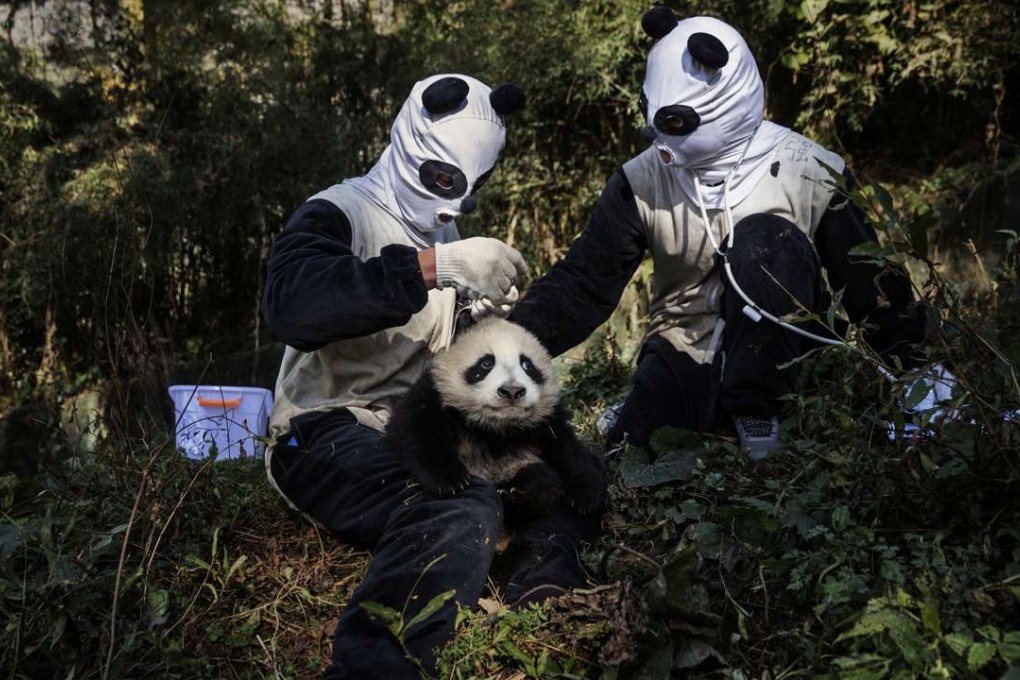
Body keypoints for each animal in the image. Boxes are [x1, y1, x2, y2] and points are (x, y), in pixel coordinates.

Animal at [386, 318, 606, 521]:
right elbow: (413, 426)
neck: (496, 427)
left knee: (542, 480)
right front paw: (449, 479)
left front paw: (586, 496)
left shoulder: (547, 419)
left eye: (527, 365)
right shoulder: (435, 395)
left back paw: (516, 495)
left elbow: (567, 448)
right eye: (486, 363)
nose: (512, 391)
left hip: (517, 465)